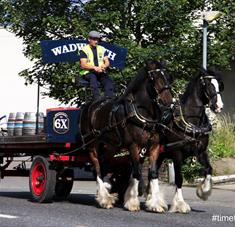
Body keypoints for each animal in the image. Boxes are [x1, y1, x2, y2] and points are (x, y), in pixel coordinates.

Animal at [80, 59, 173, 211]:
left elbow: (152, 173)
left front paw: (155, 204)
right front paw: (132, 202)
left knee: (104, 164)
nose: (169, 102)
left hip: (110, 146)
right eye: (155, 78)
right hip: (91, 145)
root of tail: (89, 106)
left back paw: (107, 191)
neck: (142, 112)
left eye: (169, 77)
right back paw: (105, 198)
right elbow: (136, 172)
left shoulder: (154, 146)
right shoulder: (133, 146)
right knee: (97, 168)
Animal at [155, 68, 223, 213]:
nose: (219, 106)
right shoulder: (177, 154)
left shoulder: (201, 151)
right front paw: (180, 204)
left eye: (219, 85)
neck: (191, 121)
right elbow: (179, 179)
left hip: (160, 155)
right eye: (208, 85)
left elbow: (209, 169)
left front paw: (203, 192)